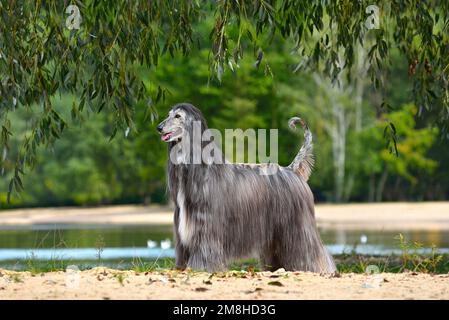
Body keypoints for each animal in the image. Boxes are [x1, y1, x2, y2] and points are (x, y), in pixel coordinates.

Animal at [158, 102, 336, 272]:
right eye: (168, 114)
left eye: (178, 116)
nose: (159, 127)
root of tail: (292, 170)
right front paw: (181, 268)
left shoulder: (205, 225)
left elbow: (204, 251)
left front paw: (200, 268)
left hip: (298, 225)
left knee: (312, 249)